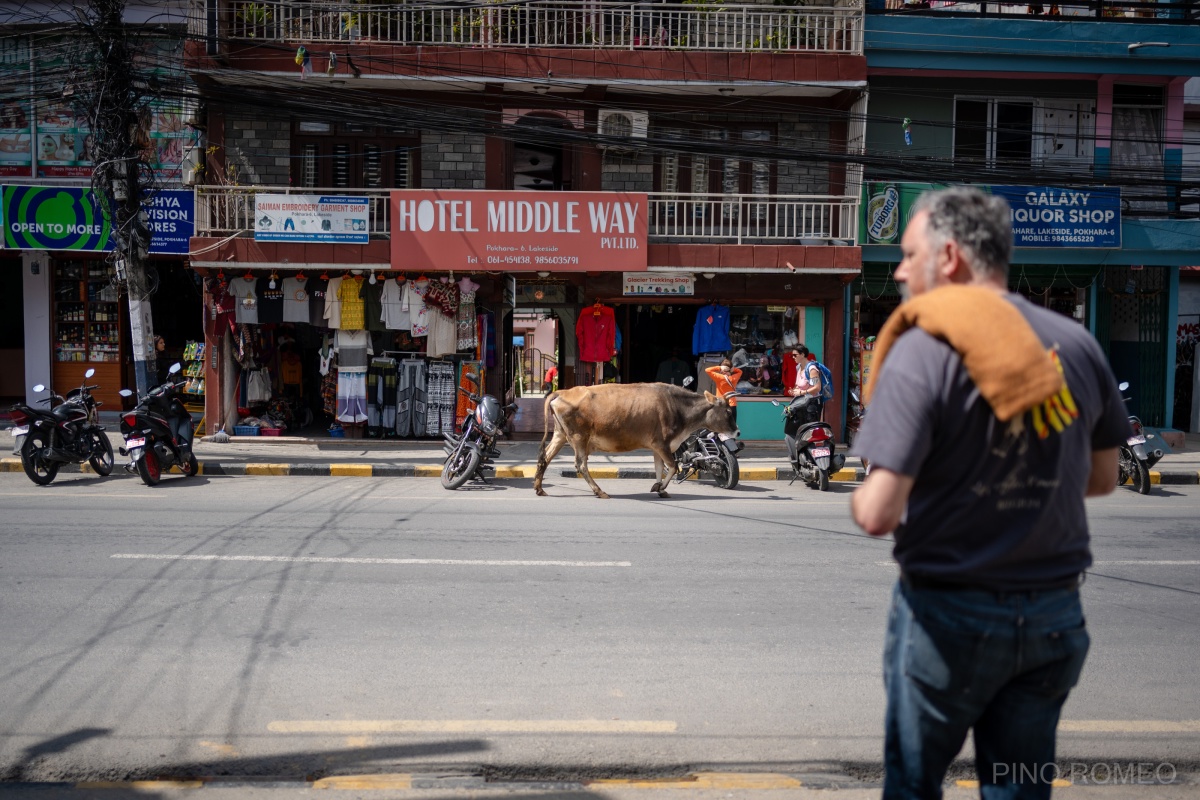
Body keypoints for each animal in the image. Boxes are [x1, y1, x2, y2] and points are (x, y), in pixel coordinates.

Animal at [537, 383, 739, 501]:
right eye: (728, 411)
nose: (737, 431)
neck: (678, 407)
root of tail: (563, 391)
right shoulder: (662, 444)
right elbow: (673, 466)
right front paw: (660, 487)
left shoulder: (657, 447)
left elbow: (659, 467)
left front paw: (660, 489)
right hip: (579, 438)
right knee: (580, 465)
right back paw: (600, 492)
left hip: (560, 434)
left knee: (544, 457)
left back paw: (539, 489)